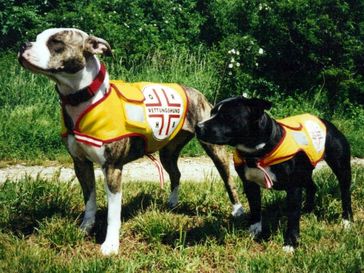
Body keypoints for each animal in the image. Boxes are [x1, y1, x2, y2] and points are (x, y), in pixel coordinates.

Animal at [196, 96, 352, 251]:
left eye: (226, 116)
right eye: (211, 113)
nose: (198, 126)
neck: (258, 153)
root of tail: (325, 122)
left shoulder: (293, 188)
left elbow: (293, 216)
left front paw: (290, 243)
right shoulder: (250, 185)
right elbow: (255, 208)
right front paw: (254, 230)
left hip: (341, 168)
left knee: (345, 193)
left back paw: (347, 221)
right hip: (305, 173)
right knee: (312, 187)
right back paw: (307, 210)